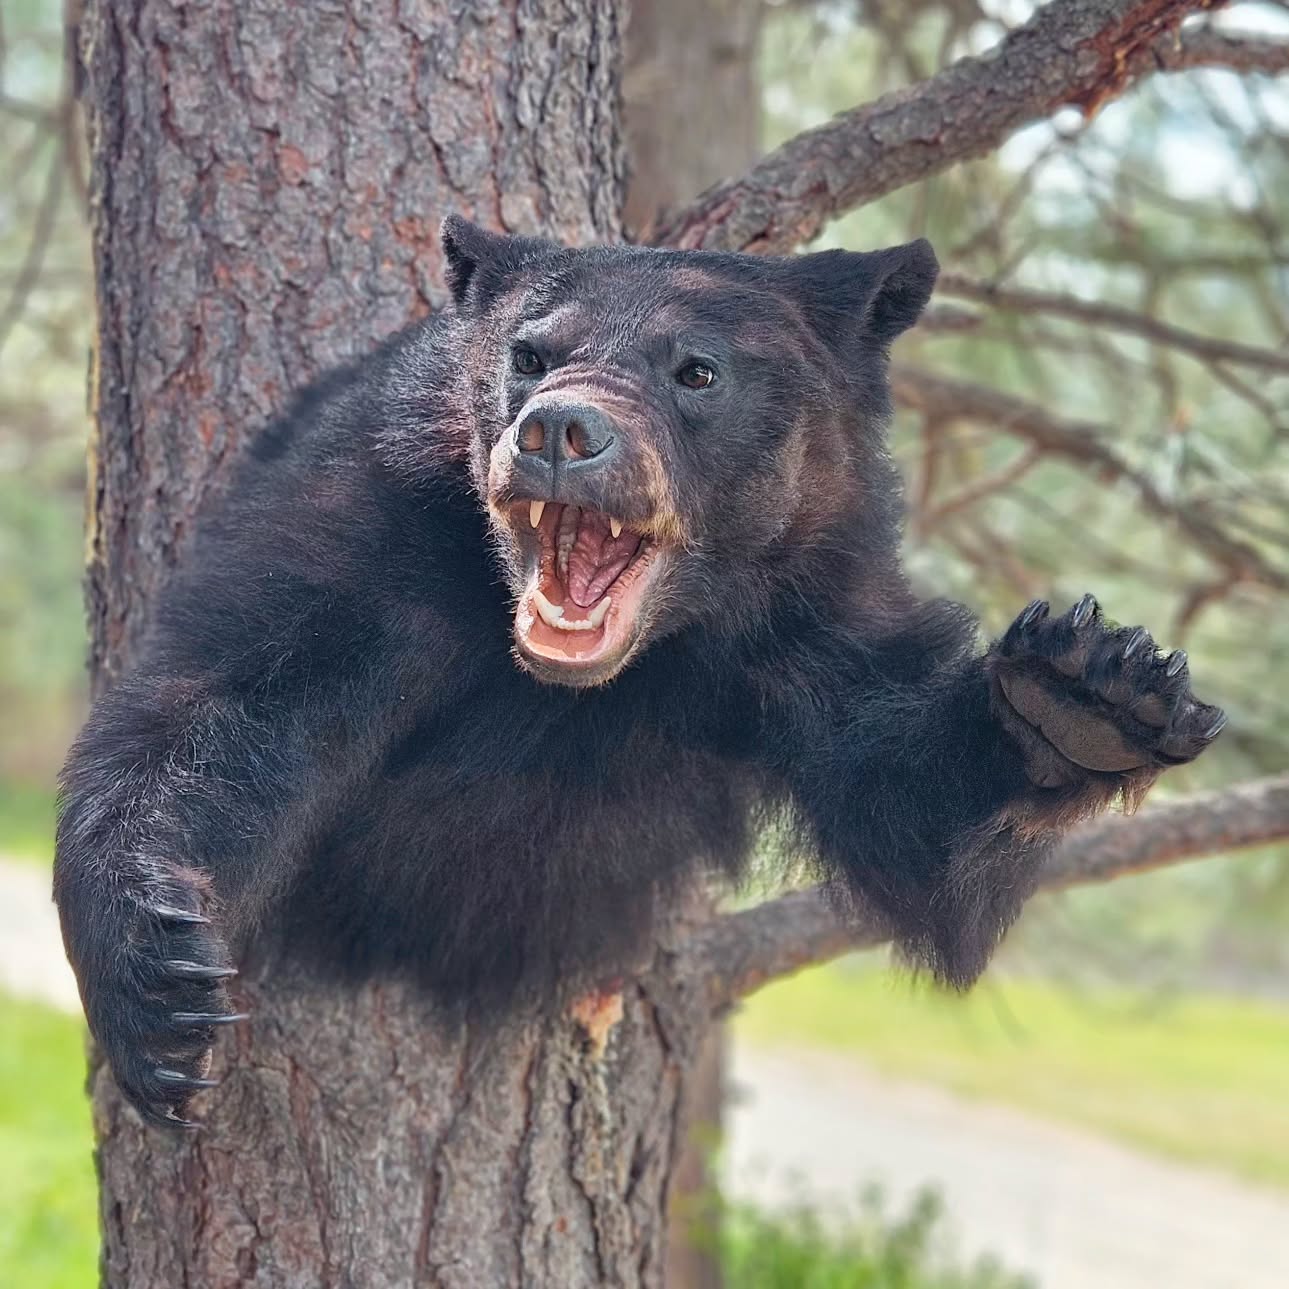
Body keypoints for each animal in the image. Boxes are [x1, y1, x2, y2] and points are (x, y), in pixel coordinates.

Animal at [52, 221, 1216, 1129]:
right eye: (528, 353)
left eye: (695, 369)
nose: (562, 431)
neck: (621, 665)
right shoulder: (373, 513)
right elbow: (224, 695)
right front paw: (156, 981)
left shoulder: (809, 610)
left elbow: (909, 801)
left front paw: (1081, 700)